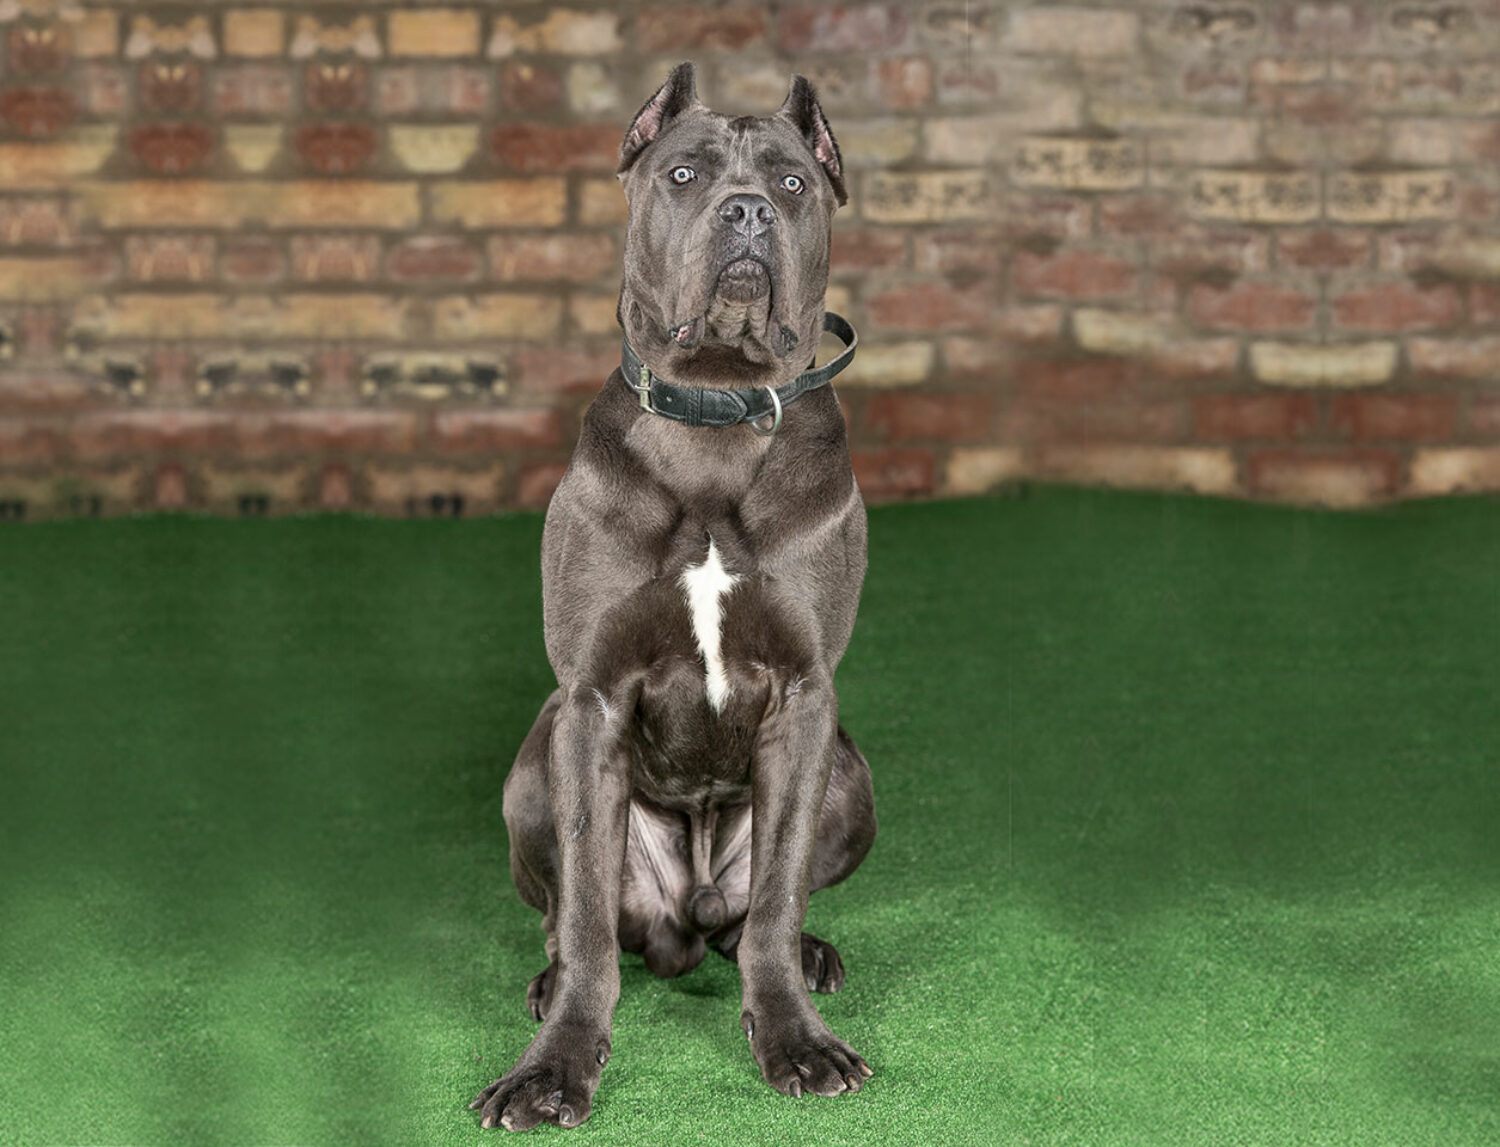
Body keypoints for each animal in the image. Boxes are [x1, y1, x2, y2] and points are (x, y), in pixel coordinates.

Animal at [471, 62, 877, 1131]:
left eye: (792, 184)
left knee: (750, 916)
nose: (746, 211)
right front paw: (553, 1066)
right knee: (574, 916)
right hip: (532, 766)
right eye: (684, 174)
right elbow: (583, 919)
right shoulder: (592, 697)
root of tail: (685, 915)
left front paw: (794, 1038)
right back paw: (549, 979)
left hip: (852, 773)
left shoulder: (805, 697)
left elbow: (777, 894)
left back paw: (806, 954)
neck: (716, 414)